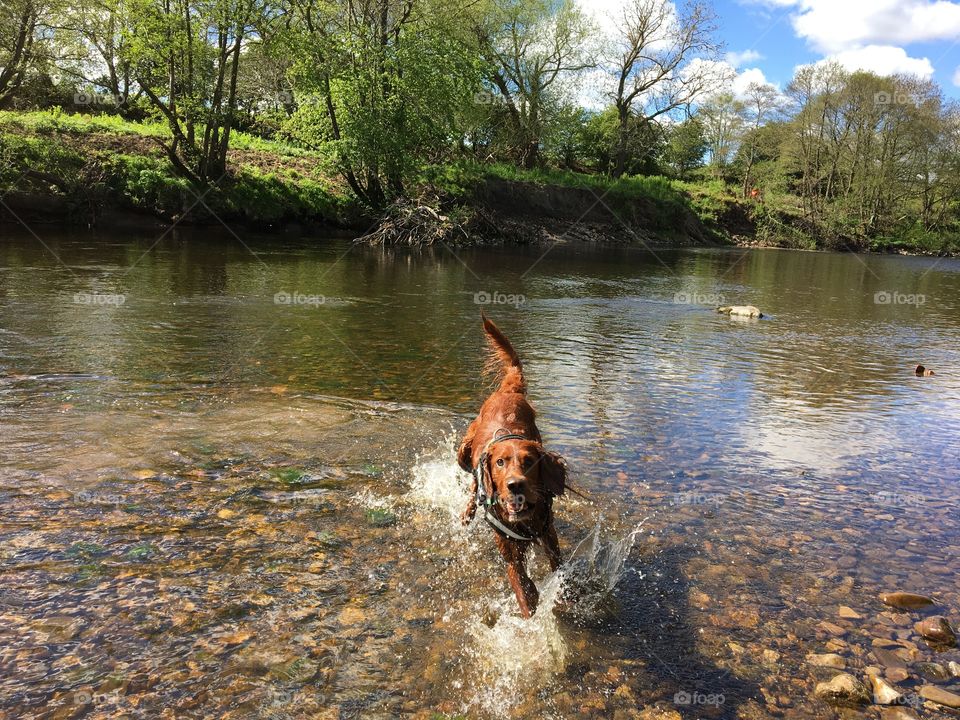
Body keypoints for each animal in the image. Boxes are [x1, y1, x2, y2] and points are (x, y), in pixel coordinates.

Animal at [456, 312, 568, 616]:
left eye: (529, 461)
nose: (515, 485)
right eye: (500, 462)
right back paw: (467, 513)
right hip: (464, 452)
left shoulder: (549, 534)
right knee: (472, 482)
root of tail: (508, 391)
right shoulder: (508, 552)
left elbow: (559, 568)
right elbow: (522, 588)